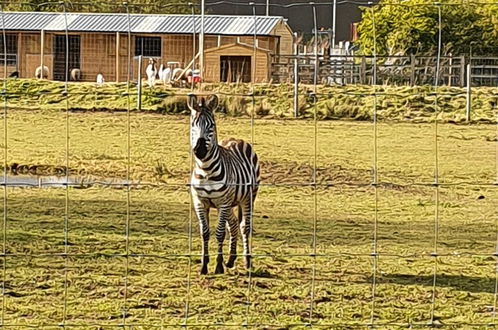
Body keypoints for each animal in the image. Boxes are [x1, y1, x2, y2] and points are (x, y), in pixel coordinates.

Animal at [188, 94, 260, 274]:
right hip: (231, 202)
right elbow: (205, 233)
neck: (205, 170)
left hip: (247, 198)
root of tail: (238, 139)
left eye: (211, 125)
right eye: (193, 124)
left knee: (244, 227)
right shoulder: (200, 202)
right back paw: (231, 259)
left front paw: (218, 266)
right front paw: (204, 265)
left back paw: (247, 261)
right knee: (233, 224)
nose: (199, 150)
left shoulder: (223, 203)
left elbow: (219, 233)